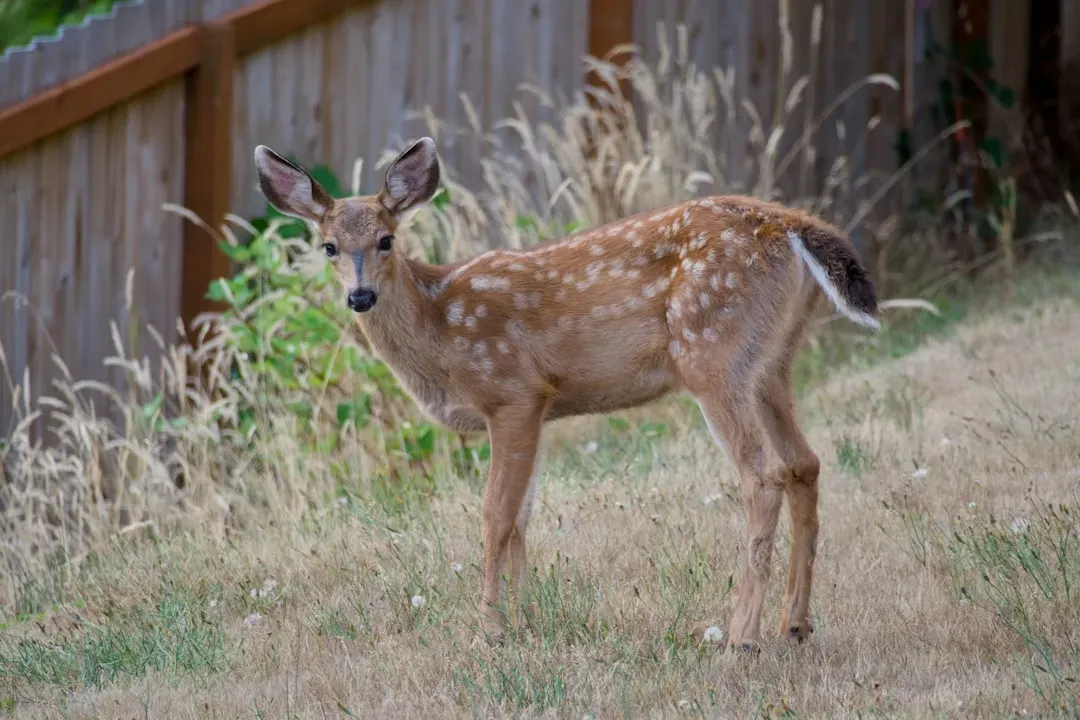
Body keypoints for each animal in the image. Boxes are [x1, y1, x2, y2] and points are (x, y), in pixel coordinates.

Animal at [252, 136, 880, 652]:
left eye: (386, 239)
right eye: (329, 246)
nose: (359, 297)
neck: (442, 331)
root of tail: (792, 225)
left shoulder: (512, 392)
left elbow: (495, 515)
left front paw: (488, 631)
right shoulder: (539, 409)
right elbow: (523, 517)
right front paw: (527, 623)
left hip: (711, 354)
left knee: (763, 475)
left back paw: (742, 636)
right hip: (771, 363)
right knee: (804, 462)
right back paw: (795, 625)